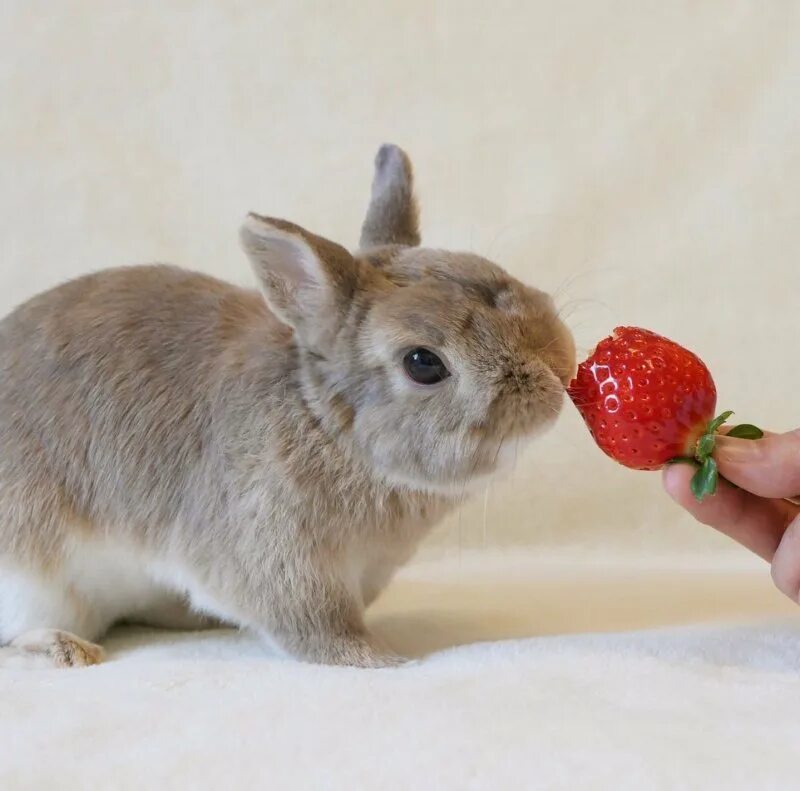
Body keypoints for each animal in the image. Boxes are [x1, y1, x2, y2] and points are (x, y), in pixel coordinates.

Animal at [0, 144, 576, 668]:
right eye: (423, 363)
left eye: (490, 268)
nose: (560, 371)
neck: (327, 424)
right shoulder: (282, 557)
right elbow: (316, 624)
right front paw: (381, 660)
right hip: (32, 579)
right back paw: (65, 649)